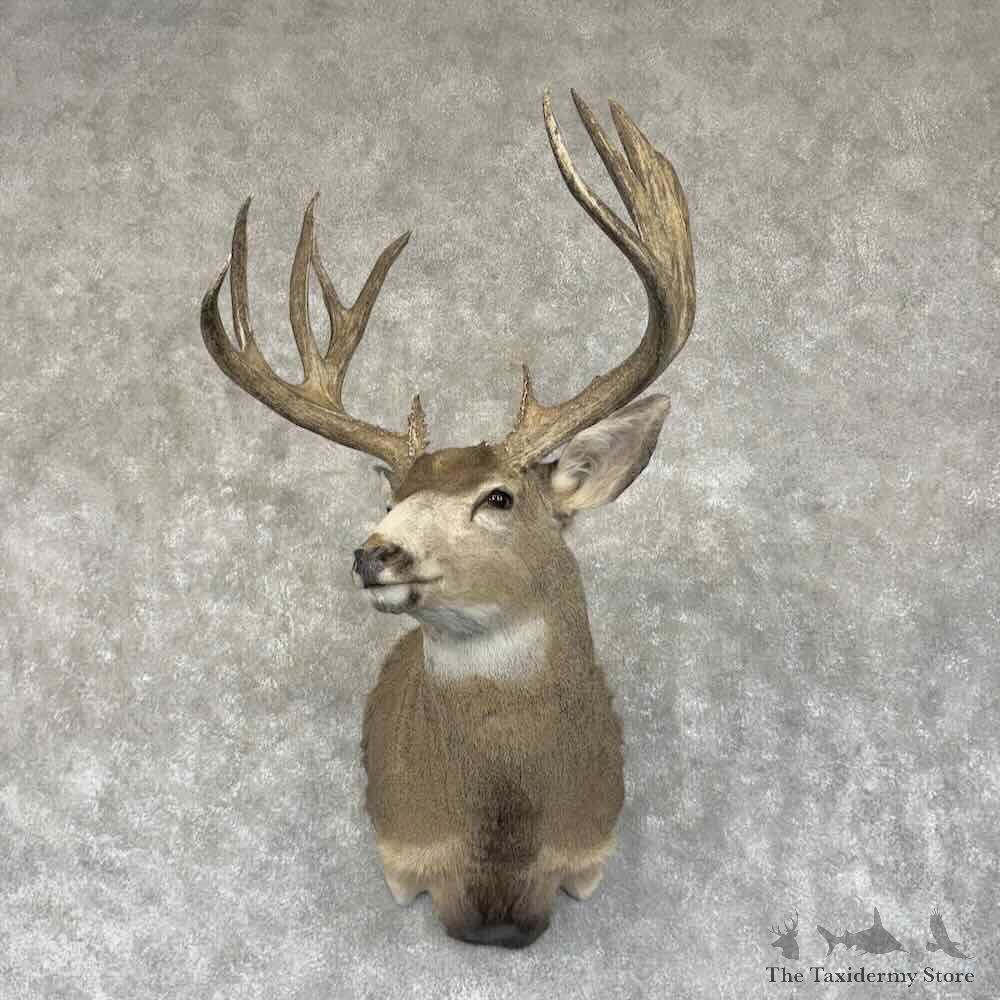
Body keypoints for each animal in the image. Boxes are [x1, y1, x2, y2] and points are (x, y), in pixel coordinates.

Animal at [199, 89, 696, 948]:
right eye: (390, 500)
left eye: (498, 497)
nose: (376, 552)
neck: (500, 849)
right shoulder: (399, 850)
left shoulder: (592, 849)